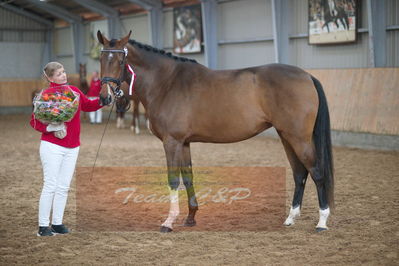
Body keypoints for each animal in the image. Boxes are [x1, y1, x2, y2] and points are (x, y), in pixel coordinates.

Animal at [97, 30, 334, 232]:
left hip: (299, 138)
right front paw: (190, 217)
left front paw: (168, 222)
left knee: (316, 172)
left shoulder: (171, 141)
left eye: (120, 61)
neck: (167, 83)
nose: (106, 97)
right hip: (286, 136)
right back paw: (291, 218)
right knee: (299, 173)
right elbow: (188, 177)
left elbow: (173, 180)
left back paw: (322, 221)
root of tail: (307, 76)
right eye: (100, 60)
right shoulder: (184, 142)